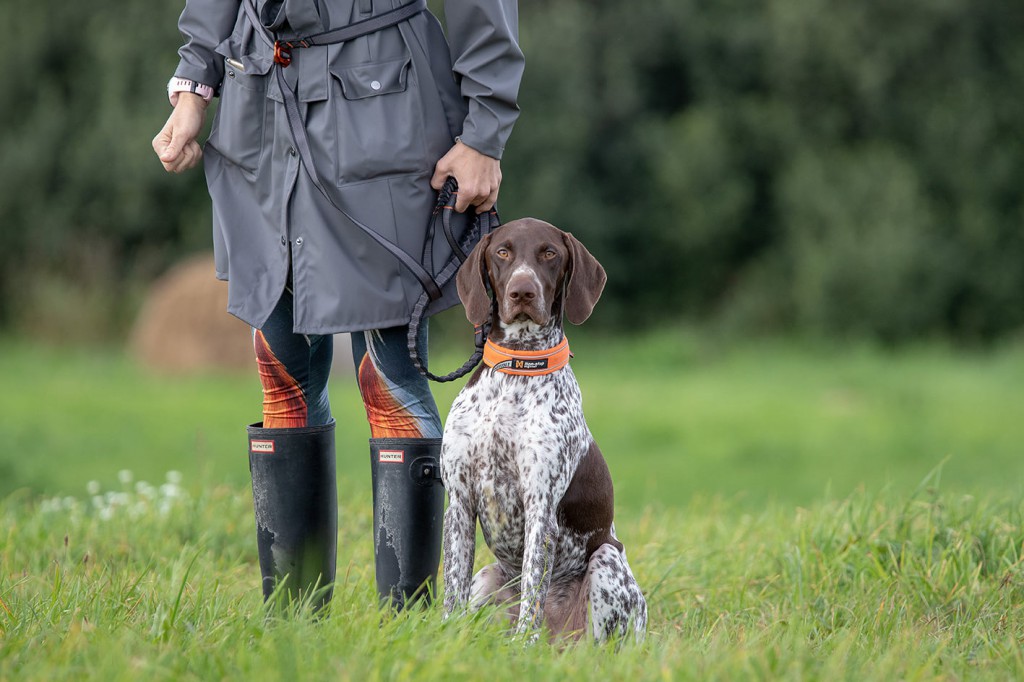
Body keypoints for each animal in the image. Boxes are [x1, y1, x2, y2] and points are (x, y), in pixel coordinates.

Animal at [440, 215, 647, 638]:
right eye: (503, 252)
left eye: (549, 253)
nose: (522, 291)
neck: (517, 369)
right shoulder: (459, 504)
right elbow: (452, 590)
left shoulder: (541, 508)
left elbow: (532, 595)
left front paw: (523, 645)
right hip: (488, 577)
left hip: (606, 564)